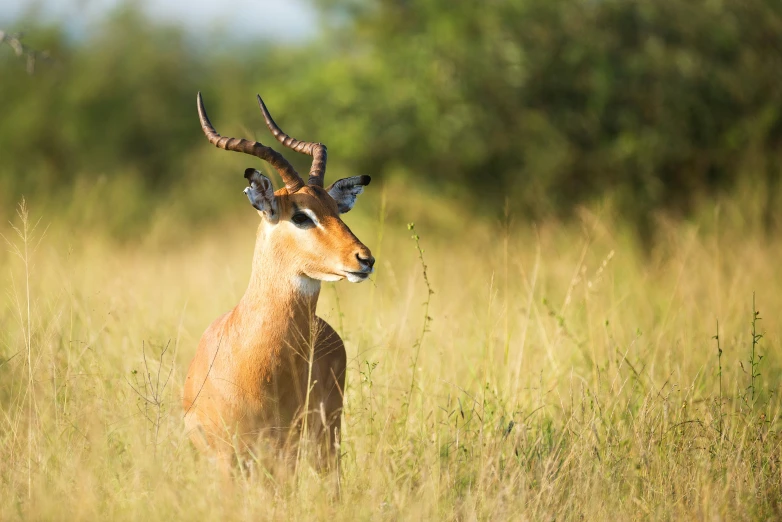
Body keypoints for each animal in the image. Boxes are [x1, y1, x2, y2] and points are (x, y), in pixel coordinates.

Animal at [187, 91, 376, 474]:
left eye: (336, 209)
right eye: (301, 216)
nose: (364, 259)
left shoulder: (282, 455)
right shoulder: (225, 458)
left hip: (325, 445)